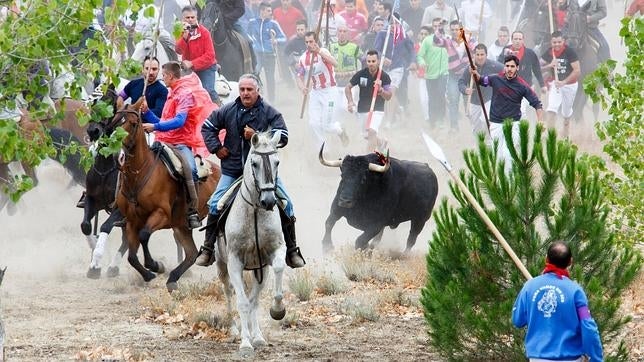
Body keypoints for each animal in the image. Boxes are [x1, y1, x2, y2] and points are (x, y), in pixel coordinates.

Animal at [112, 99, 220, 292]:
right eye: (114, 121)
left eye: (133, 123)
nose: (119, 156)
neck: (141, 173)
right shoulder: (131, 221)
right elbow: (132, 256)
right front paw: (148, 274)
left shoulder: (161, 214)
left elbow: (144, 236)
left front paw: (155, 265)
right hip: (181, 226)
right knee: (191, 254)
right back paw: (173, 278)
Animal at [216, 132, 286, 358]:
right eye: (254, 163)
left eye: (277, 162)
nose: (269, 201)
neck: (255, 210)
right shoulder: (235, 262)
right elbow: (242, 302)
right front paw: (245, 343)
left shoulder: (273, 252)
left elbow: (256, 299)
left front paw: (277, 310)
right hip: (221, 266)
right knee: (229, 292)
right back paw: (233, 329)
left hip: (259, 269)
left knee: (254, 299)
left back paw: (258, 337)